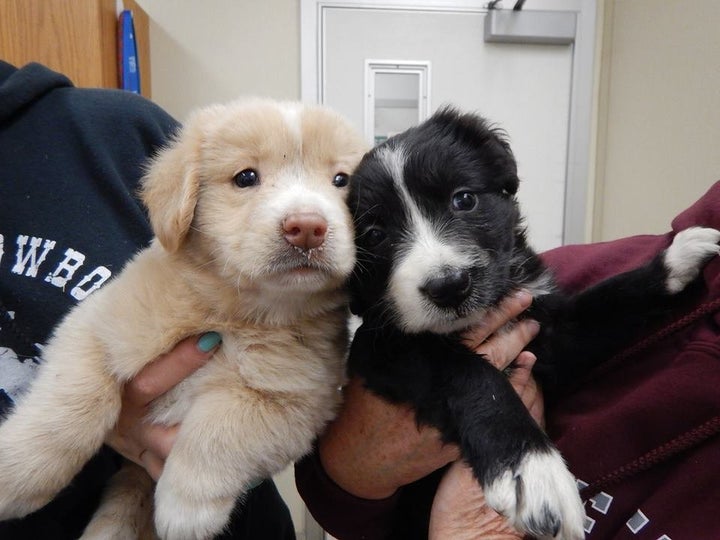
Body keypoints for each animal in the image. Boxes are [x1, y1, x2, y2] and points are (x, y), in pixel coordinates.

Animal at [0, 98, 366, 540]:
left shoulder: (301, 402)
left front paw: (187, 508)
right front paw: (18, 474)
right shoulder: (93, 327)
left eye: (341, 180)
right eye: (246, 177)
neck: (234, 312)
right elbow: (73, 404)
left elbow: (221, 428)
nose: (308, 227)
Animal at [344, 107, 720, 536]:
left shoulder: (552, 331)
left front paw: (676, 260)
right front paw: (532, 468)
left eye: (464, 199)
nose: (449, 286)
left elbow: (609, 300)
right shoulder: (382, 350)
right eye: (375, 235)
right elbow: (466, 371)